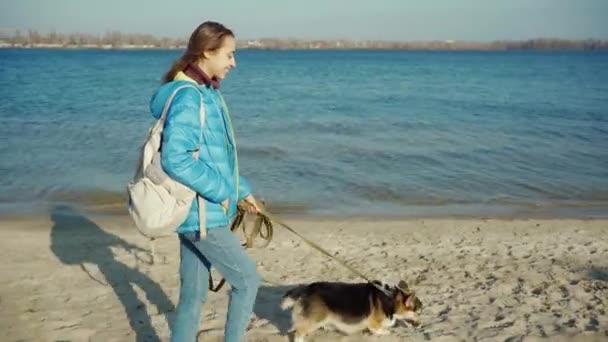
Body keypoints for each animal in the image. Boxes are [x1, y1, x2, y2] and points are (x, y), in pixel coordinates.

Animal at [280, 280, 422, 340]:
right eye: (418, 312)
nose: (421, 325)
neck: (390, 299)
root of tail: (306, 289)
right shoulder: (373, 323)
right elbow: (378, 329)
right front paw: (384, 332)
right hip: (316, 319)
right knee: (299, 332)